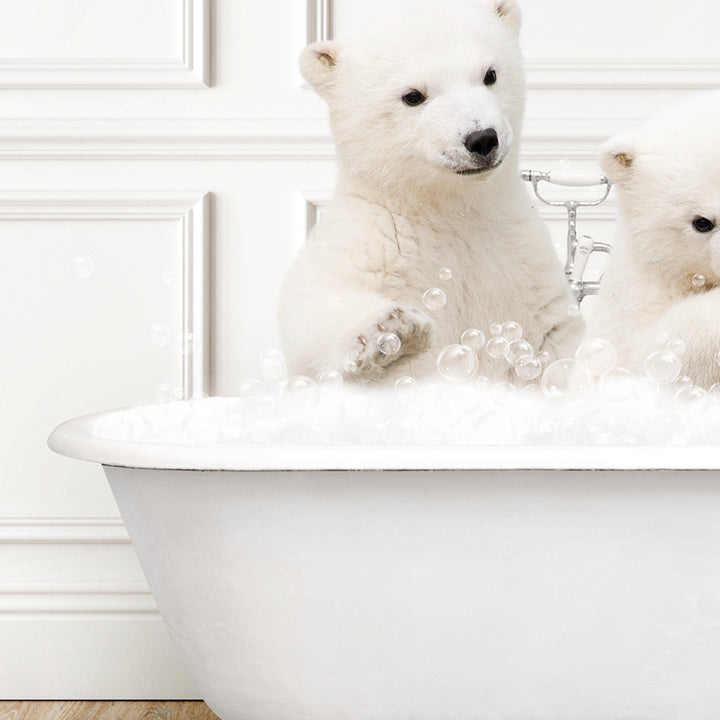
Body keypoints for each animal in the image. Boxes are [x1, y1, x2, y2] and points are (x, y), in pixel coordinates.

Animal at [278, 0, 584, 382]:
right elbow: (310, 310)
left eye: (490, 74)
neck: (447, 207)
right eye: (413, 96)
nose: (481, 138)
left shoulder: (525, 268)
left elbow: (557, 344)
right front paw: (390, 331)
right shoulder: (368, 243)